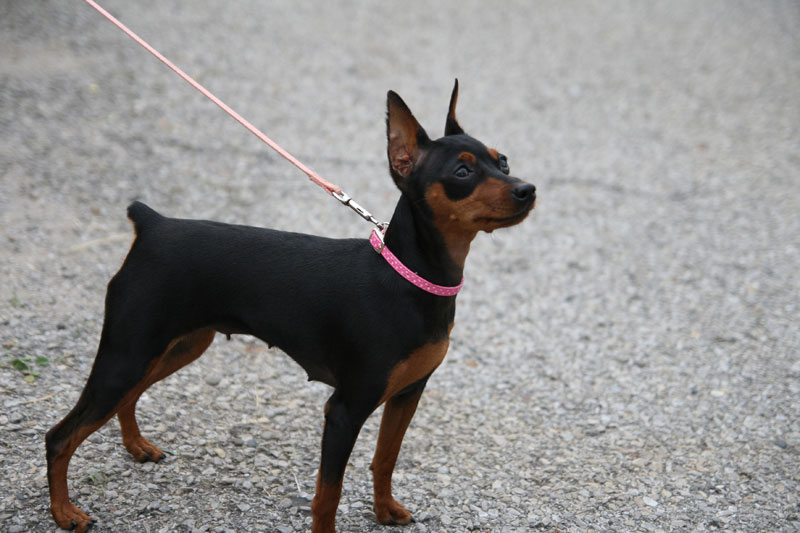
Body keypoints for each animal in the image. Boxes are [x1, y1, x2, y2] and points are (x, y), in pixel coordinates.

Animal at [48, 81, 536, 528]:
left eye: (503, 161)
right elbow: (328, 495)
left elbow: (385, 460)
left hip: (178, 346)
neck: (409, 276)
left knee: (127, 397)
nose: (527, 189)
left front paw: (384, 511)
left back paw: (136, 447)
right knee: (60, 436)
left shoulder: (407, 394)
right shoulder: (344, 410)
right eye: (462, 172)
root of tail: (152, 226)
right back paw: (64, 513)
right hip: (127, 354)